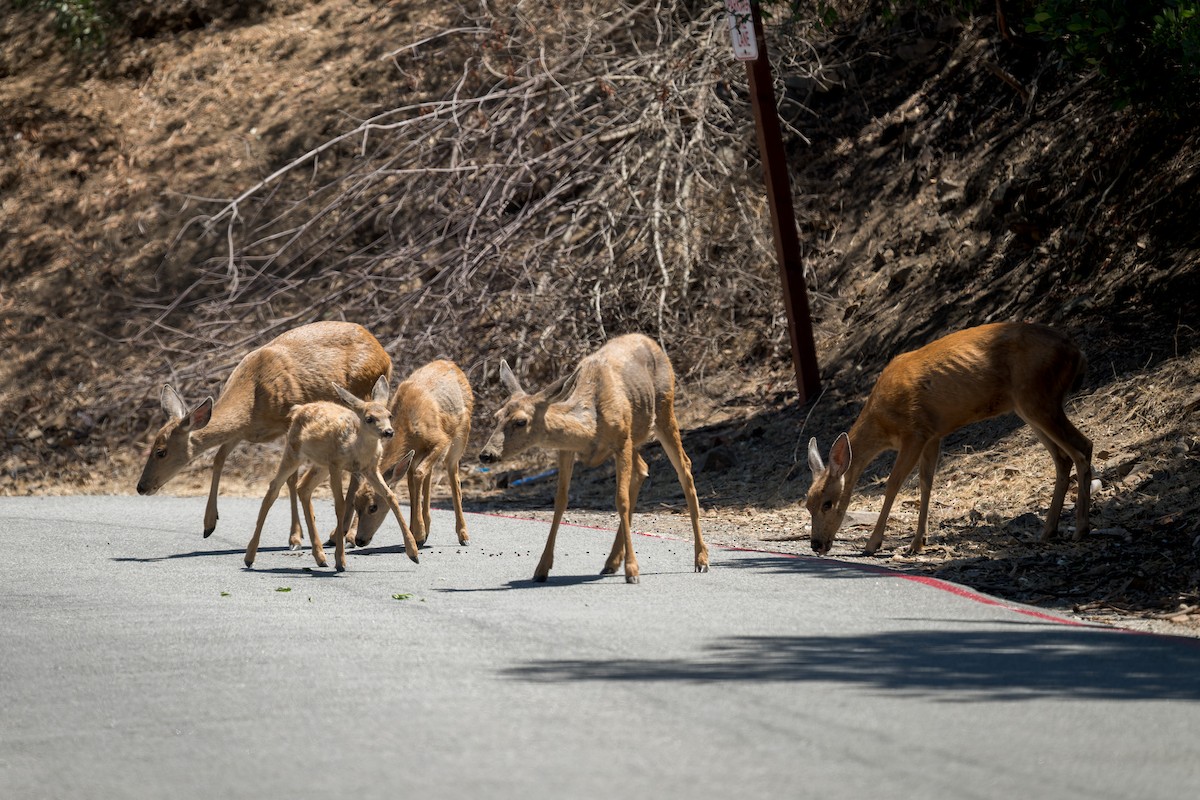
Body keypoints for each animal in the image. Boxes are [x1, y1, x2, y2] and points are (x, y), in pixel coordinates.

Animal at [136, 321, 392, 547]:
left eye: (161, 452)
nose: (141, 487)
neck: (253, 401)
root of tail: (384, 353)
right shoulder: (243, 431)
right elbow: (219, 458)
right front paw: (209, 524)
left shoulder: (288, 422)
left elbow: (290, 478)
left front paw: (295, 537)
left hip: (361, 397)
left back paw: (342, 535)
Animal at [243, 375, 420, 572]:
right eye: (369, 418)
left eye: (389, 415)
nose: (388, 431)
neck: (356, 448)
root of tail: (297, 410)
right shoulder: (337, 464)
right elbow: (340, 505)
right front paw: (340, 561)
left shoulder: (370, 469)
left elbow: (390, 496)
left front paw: (413, 552)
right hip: (293, 452)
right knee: (274, 488)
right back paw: (249, 557)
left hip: (320, 464)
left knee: (303, 488)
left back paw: (320, 557)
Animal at [345, 360, 474, 549]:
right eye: (356, 503)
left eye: (373, 507)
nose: (360, 540)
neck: (408, 427)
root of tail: (451, 364)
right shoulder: (413, 454)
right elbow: (414, 481)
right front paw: (417, 533)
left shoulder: (440, 439)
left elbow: (419, 474)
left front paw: (418, 534)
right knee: (425, 475)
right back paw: (427, 526)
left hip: (460, 436)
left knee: (453, 475)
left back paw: (463, 534)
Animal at [478, 333, 708, 584]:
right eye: (497, 416)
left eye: (521, 421)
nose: (486, 454)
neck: (590, 425)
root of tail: (649, 340)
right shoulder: (567, 450)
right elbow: (560, 501)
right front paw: (541, 568)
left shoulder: (621, 441)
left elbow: (621, 500)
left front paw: (633, 571)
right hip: (636, 435)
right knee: (643, 468)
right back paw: (611, 562)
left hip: (664, 408)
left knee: (684, 467)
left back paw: (701, 559)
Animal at [806, 321, 1093, 557]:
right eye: (808, 505)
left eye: (827, 504)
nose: (816, 545)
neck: (881, 422)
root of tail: (1078, 353)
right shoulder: (933, 436)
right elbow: (926, 483)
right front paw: (918, 542)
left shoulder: (914, 432)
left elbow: (893, 484)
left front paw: (873, 543)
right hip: (1028, 406)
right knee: (1063, 458)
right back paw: (1048, 531)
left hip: (1038, 398)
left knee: (1082, 447)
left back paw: (1081, 529)